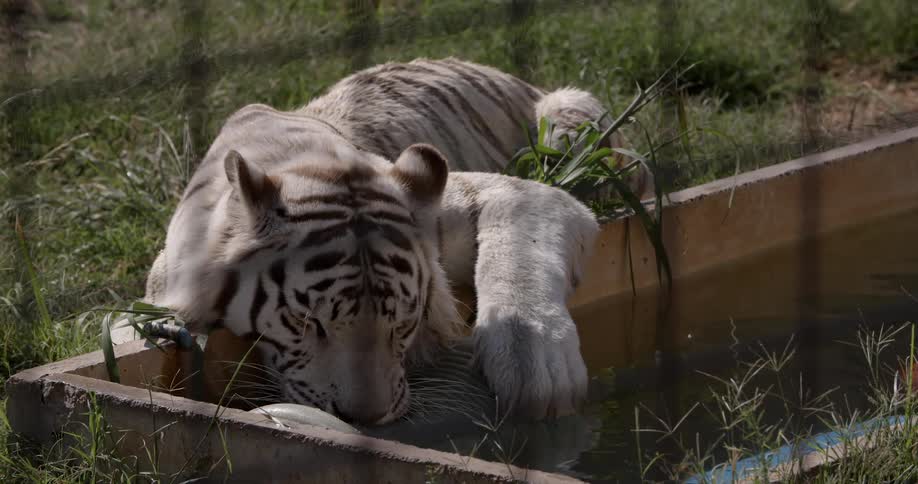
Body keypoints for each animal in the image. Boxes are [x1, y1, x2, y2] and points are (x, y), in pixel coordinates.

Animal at [144, 57, 651, 425]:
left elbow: (517, 259)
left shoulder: (525, 195)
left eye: (402, 322)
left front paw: (536, 370)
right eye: (308, 322)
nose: (366, 420)